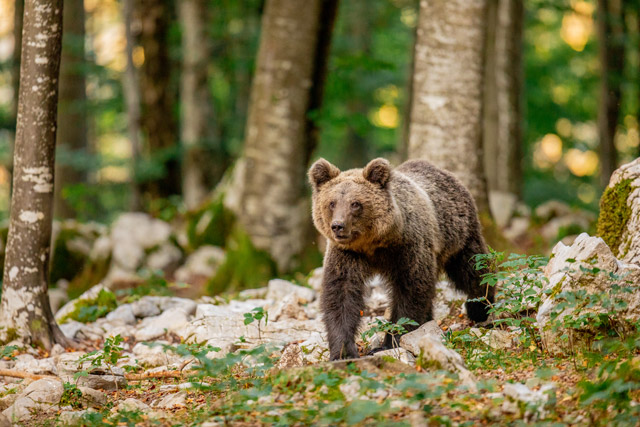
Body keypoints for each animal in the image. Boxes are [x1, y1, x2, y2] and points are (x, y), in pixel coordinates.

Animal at [308, 157, 494, 360]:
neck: (373, 244)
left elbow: (410, 290)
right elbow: (340, 295)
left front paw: (390, 342)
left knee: (472, 269)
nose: (338, 226)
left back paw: (480, 308)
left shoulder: (408, 247)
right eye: (332, 203)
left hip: (458, 234)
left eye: (355, 203)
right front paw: (343, 352)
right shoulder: (347, 254)